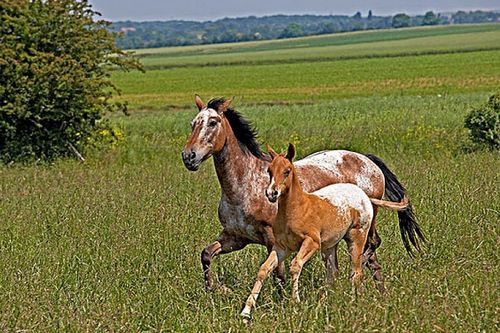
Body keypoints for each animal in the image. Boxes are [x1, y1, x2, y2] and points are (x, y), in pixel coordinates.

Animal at [182, 94, 424, 290]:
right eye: (193, 124)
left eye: (213, 122)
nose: (189, 157)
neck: (245, 186)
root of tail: (368, 160)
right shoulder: (235, 237)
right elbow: (206, 254)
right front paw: (214, 290)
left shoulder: (272, 239)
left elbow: (278, 274)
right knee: (370, 254)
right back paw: (380, 291)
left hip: (368, 219)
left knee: (371, 246)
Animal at [240, 144, 408, 320]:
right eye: (269, 171)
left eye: (287, 171)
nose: (271, 193)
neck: (296, 209)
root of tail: (364, 196)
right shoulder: (281, 247)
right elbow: (264, 269)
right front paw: (246, 312)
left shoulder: (312, 243)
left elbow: (295, 266)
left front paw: (296, 303)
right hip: (330, 246)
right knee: (333, 275)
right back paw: (326, 303)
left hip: (356, 238)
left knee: (356, 273)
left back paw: (354, 304)